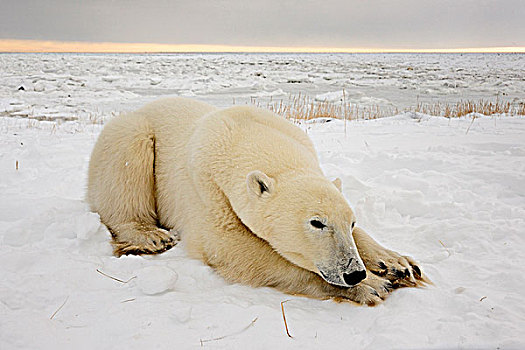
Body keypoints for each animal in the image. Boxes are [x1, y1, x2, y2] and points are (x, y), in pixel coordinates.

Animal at [88, 97, 426, 304]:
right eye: (316, 223)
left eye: (351, 222)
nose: (353, 272)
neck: (245, 132)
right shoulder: (207, 189)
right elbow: (233, 247)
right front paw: (372, 285)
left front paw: (398, 264)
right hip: (130, 134)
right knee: (127, 162)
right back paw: (150, 236)